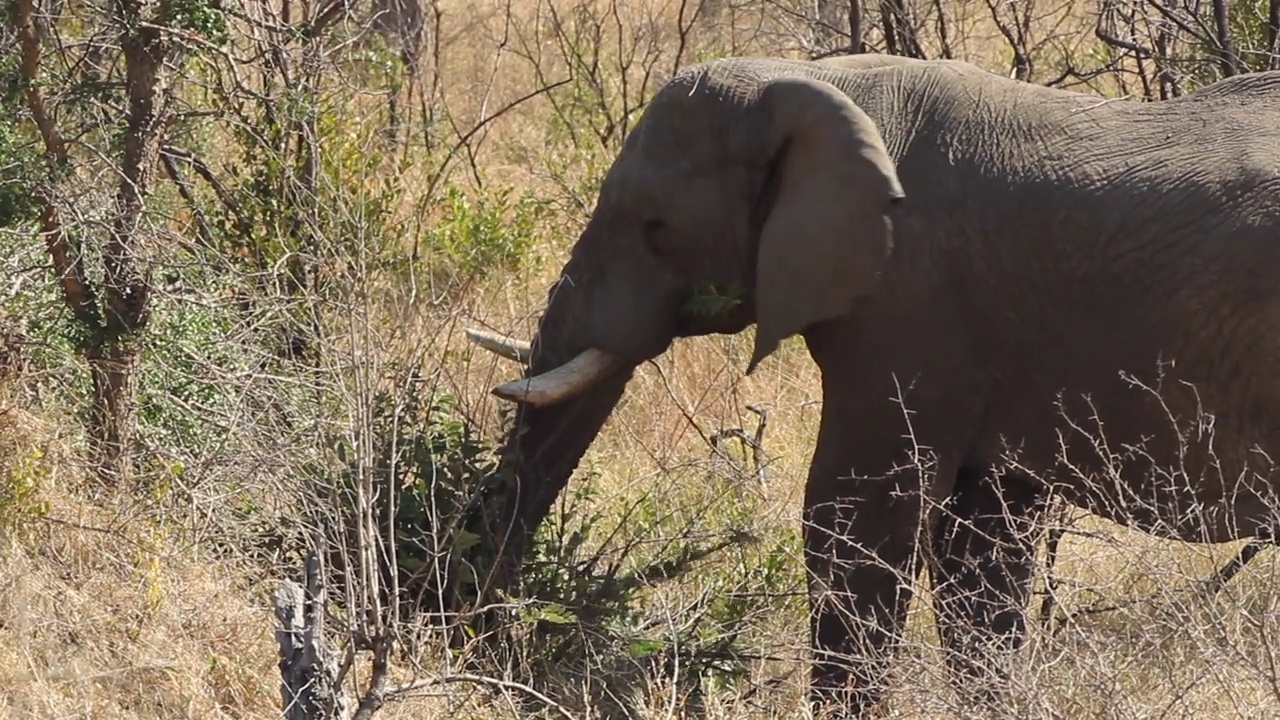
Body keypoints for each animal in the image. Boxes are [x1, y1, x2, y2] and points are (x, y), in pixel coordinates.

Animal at [465, 53, 1280, 712]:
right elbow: (981, 541)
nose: (485, 647)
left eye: (656, 227)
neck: (817, 80)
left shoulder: (912, 299)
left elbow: (853, 514)